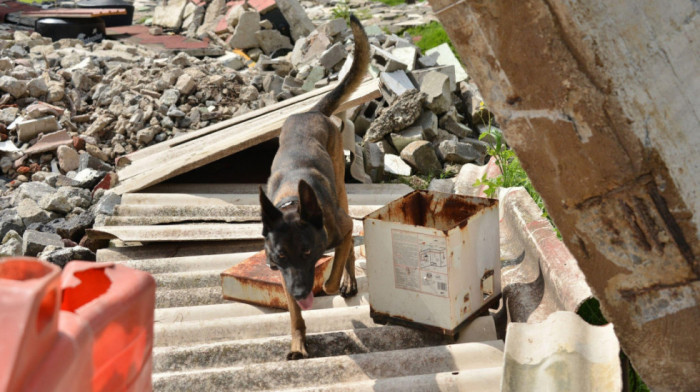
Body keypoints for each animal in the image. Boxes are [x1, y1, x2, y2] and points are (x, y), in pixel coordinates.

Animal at [258, 14, 372, 358]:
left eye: (307, 251)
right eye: (281, 256)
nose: (300, 291)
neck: (294, 204)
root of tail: (311, 111)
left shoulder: (342, 229)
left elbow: (333, 273)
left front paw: (335, 281)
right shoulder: (283, 275)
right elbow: (295, 315)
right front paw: (298, 342)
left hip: (341, 189)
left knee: (348, 253)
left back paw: (348, 280)